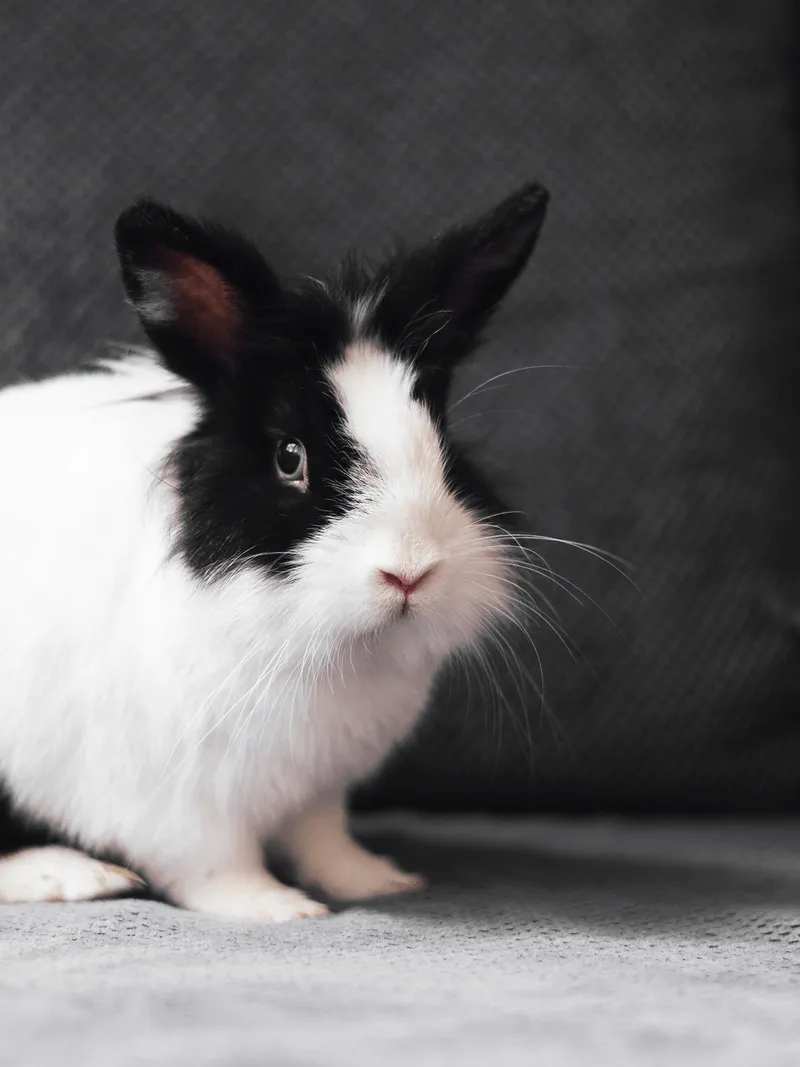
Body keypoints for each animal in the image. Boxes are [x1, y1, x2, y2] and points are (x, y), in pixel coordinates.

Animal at [0, 182, 549, 921]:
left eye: (443, 442)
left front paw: (374, 880)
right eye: (291, 458)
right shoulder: (178, 798)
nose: (408, 572)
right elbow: (213, 863)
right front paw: (279, 908)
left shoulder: (317, 787)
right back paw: (78, 876)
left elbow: (323, 838)